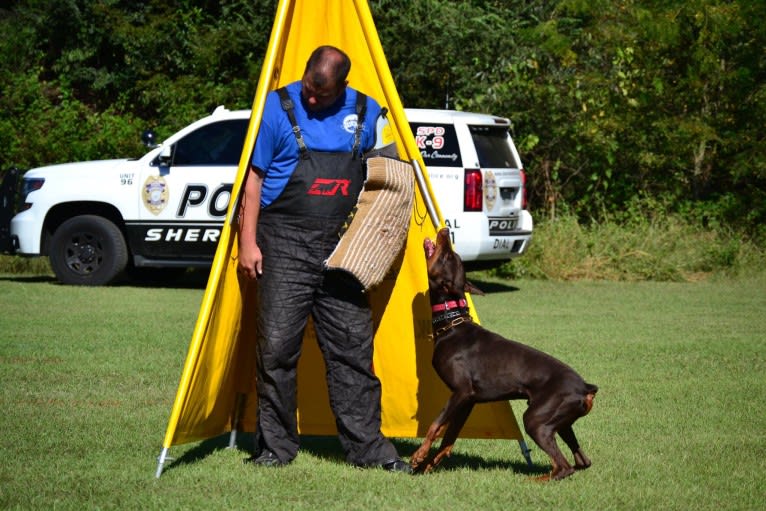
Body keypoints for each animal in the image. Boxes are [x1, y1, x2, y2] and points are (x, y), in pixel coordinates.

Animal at [414, 230, 600, 482]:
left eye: (448, 257)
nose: (444, 231)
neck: (453, 323)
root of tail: (585, 388)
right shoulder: (468, 401)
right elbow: (448, 438)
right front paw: (429, 465)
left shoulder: (462, 391)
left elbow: (436, 424)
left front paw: (418, 456)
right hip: (561, 423)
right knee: (582, 461)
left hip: (536, 419)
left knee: (564, 466)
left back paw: (534, 480)